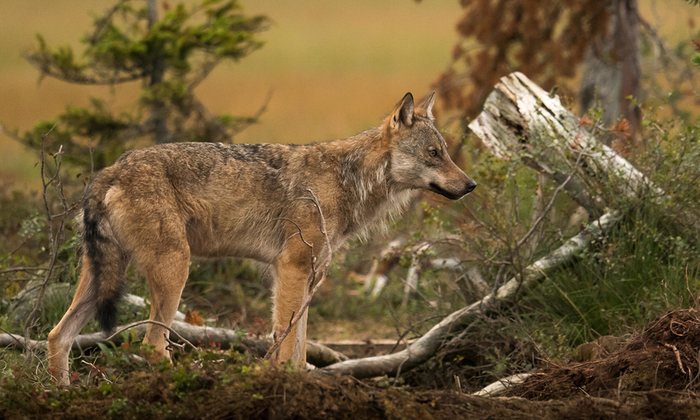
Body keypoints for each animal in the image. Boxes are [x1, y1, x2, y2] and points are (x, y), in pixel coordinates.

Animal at [47, 92, 476, 384]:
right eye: (434, 154)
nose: (471, 185)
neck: (347, 180)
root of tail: (110, 170)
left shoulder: (305, 276)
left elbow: (299, 349)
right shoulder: (290, 269)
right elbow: (286, 350)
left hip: (102, 280)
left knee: (58, 336)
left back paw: (63, 395)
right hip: (174, 271)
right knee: (151, 346)